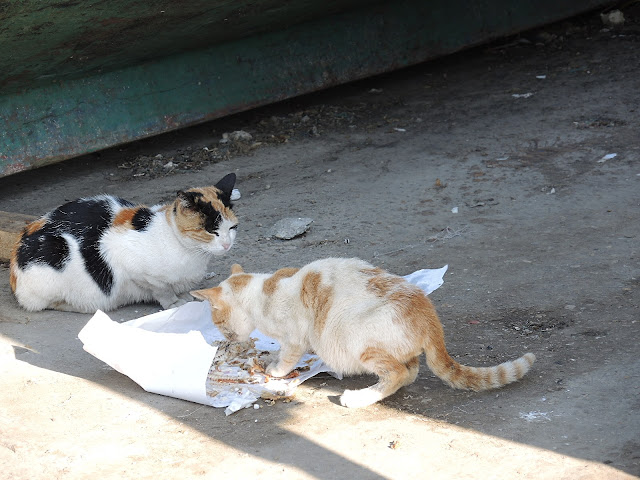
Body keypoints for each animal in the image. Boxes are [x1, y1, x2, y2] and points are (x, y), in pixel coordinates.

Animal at [8, 174, 239, 314]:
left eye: (232, 228)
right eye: (211, 231)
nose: (227, 245)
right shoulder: (124, 257)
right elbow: (160, 289)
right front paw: (174, 303)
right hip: (54, 250)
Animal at [192, 258, 536, 408]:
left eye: (217, 320)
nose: (226, 337)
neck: (263, 291)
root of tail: (428, 315)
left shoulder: (295, 338)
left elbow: (287, 358)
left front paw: (273, 369)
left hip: (358, 339)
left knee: (398, 373)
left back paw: (359, 398)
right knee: (410, 371)